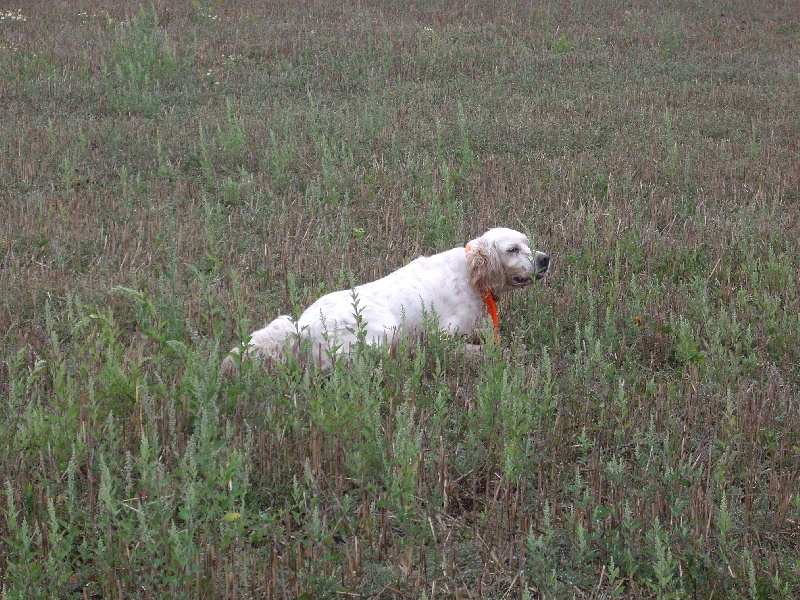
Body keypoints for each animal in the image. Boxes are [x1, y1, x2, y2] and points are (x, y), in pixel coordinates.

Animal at [225, 229, 552, 372]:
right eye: (512, 249)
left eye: (528, 244)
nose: (545, 259)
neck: (472, 275)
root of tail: (302, 327)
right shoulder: (443, 337)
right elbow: (484, 351)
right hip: (385, 332)